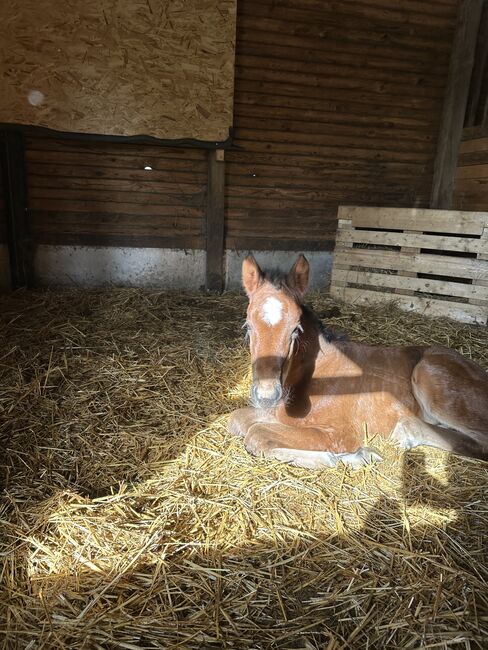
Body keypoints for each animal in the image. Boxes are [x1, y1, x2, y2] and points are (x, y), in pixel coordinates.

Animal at [229, 252, 488, 466]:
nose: (266, 395)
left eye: (296, 329)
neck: (316, 374)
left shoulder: (341, 432)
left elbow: (257, 435)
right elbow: (238, 420)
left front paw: (347, 457)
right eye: (248, 327)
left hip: (430, 374)